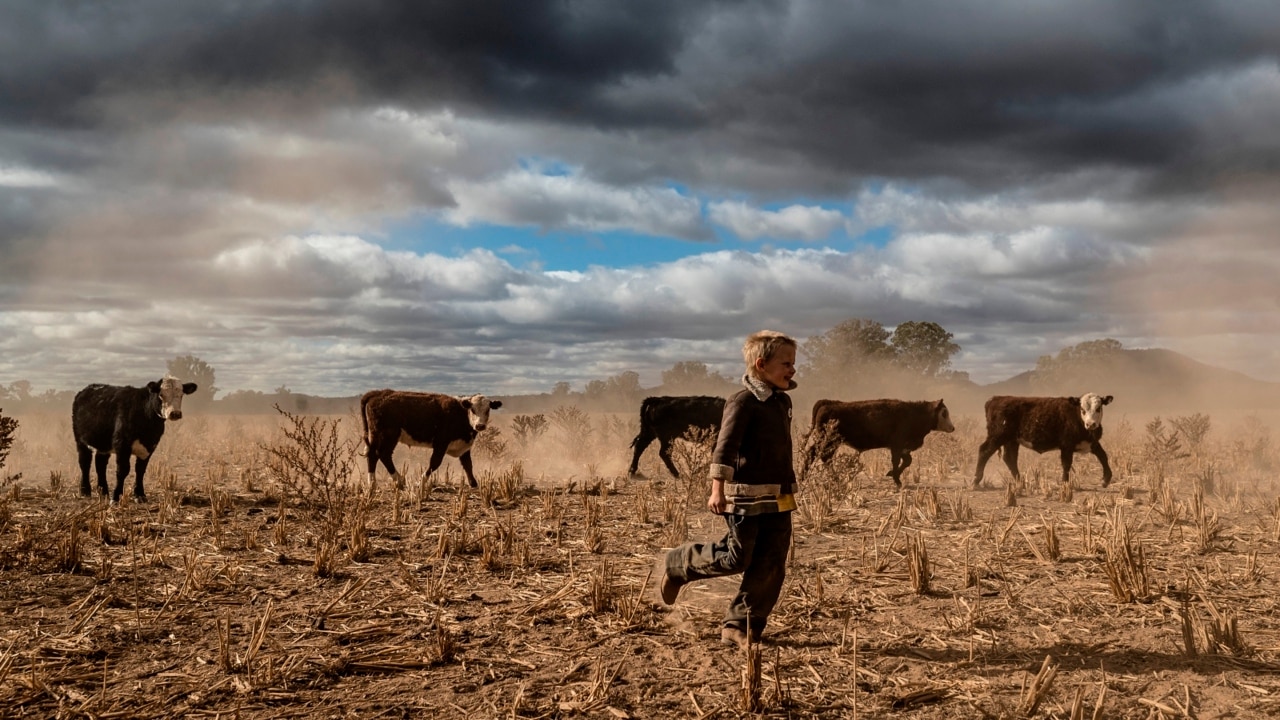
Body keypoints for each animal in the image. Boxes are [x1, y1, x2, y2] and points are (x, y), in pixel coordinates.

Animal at [72, 371, 195, 502]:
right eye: (161, 395)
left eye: (181, 394)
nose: (175, 413)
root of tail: (88, 388)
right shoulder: (122, 445)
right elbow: (123, 470)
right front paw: (116, 496)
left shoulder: (149, 447)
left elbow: (140, 470)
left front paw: (140, 495)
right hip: (80, 440)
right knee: (84, 462)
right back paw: (85, 491)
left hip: (103, 443)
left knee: (100, 464)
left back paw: (103, 492)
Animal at [363, 389, 501, 489]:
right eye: (472, 409)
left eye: (488, 410)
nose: (480, 426)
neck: (460, 413)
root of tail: (378, 393)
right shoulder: (441, 443)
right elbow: (434, 463)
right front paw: (420, 482)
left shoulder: (464, 447)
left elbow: (468, 465)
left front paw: (474, 483)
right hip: (388, 436)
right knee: (383, 454)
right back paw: (398, 480)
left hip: (376, 436)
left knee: (373, 455)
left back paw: (373, 483)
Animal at [803, 397, 957, 486]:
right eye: (944, 412)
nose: (952, 428)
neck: (914, 413)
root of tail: (828, 404)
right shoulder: (897, 446)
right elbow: (897, 462)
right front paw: (896, 480)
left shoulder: (903, 448)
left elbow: (907, 461)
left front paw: (892, 474)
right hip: (828, 441)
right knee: (816, 455)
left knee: (823, 457)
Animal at [972, 392, 1116, 486]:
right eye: (1082, 409)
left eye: (1098, 408)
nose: (1091, 424)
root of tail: (995, 399)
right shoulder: (1066, 445)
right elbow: (1066, 464)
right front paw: (1065, 483)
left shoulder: (1092, 443)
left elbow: (1103, 456)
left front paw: (1106, 479)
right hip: (997, 436)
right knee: (984, 451)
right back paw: (976, 480)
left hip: (1011, 440)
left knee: (1010, 458)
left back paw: (1020, 482)